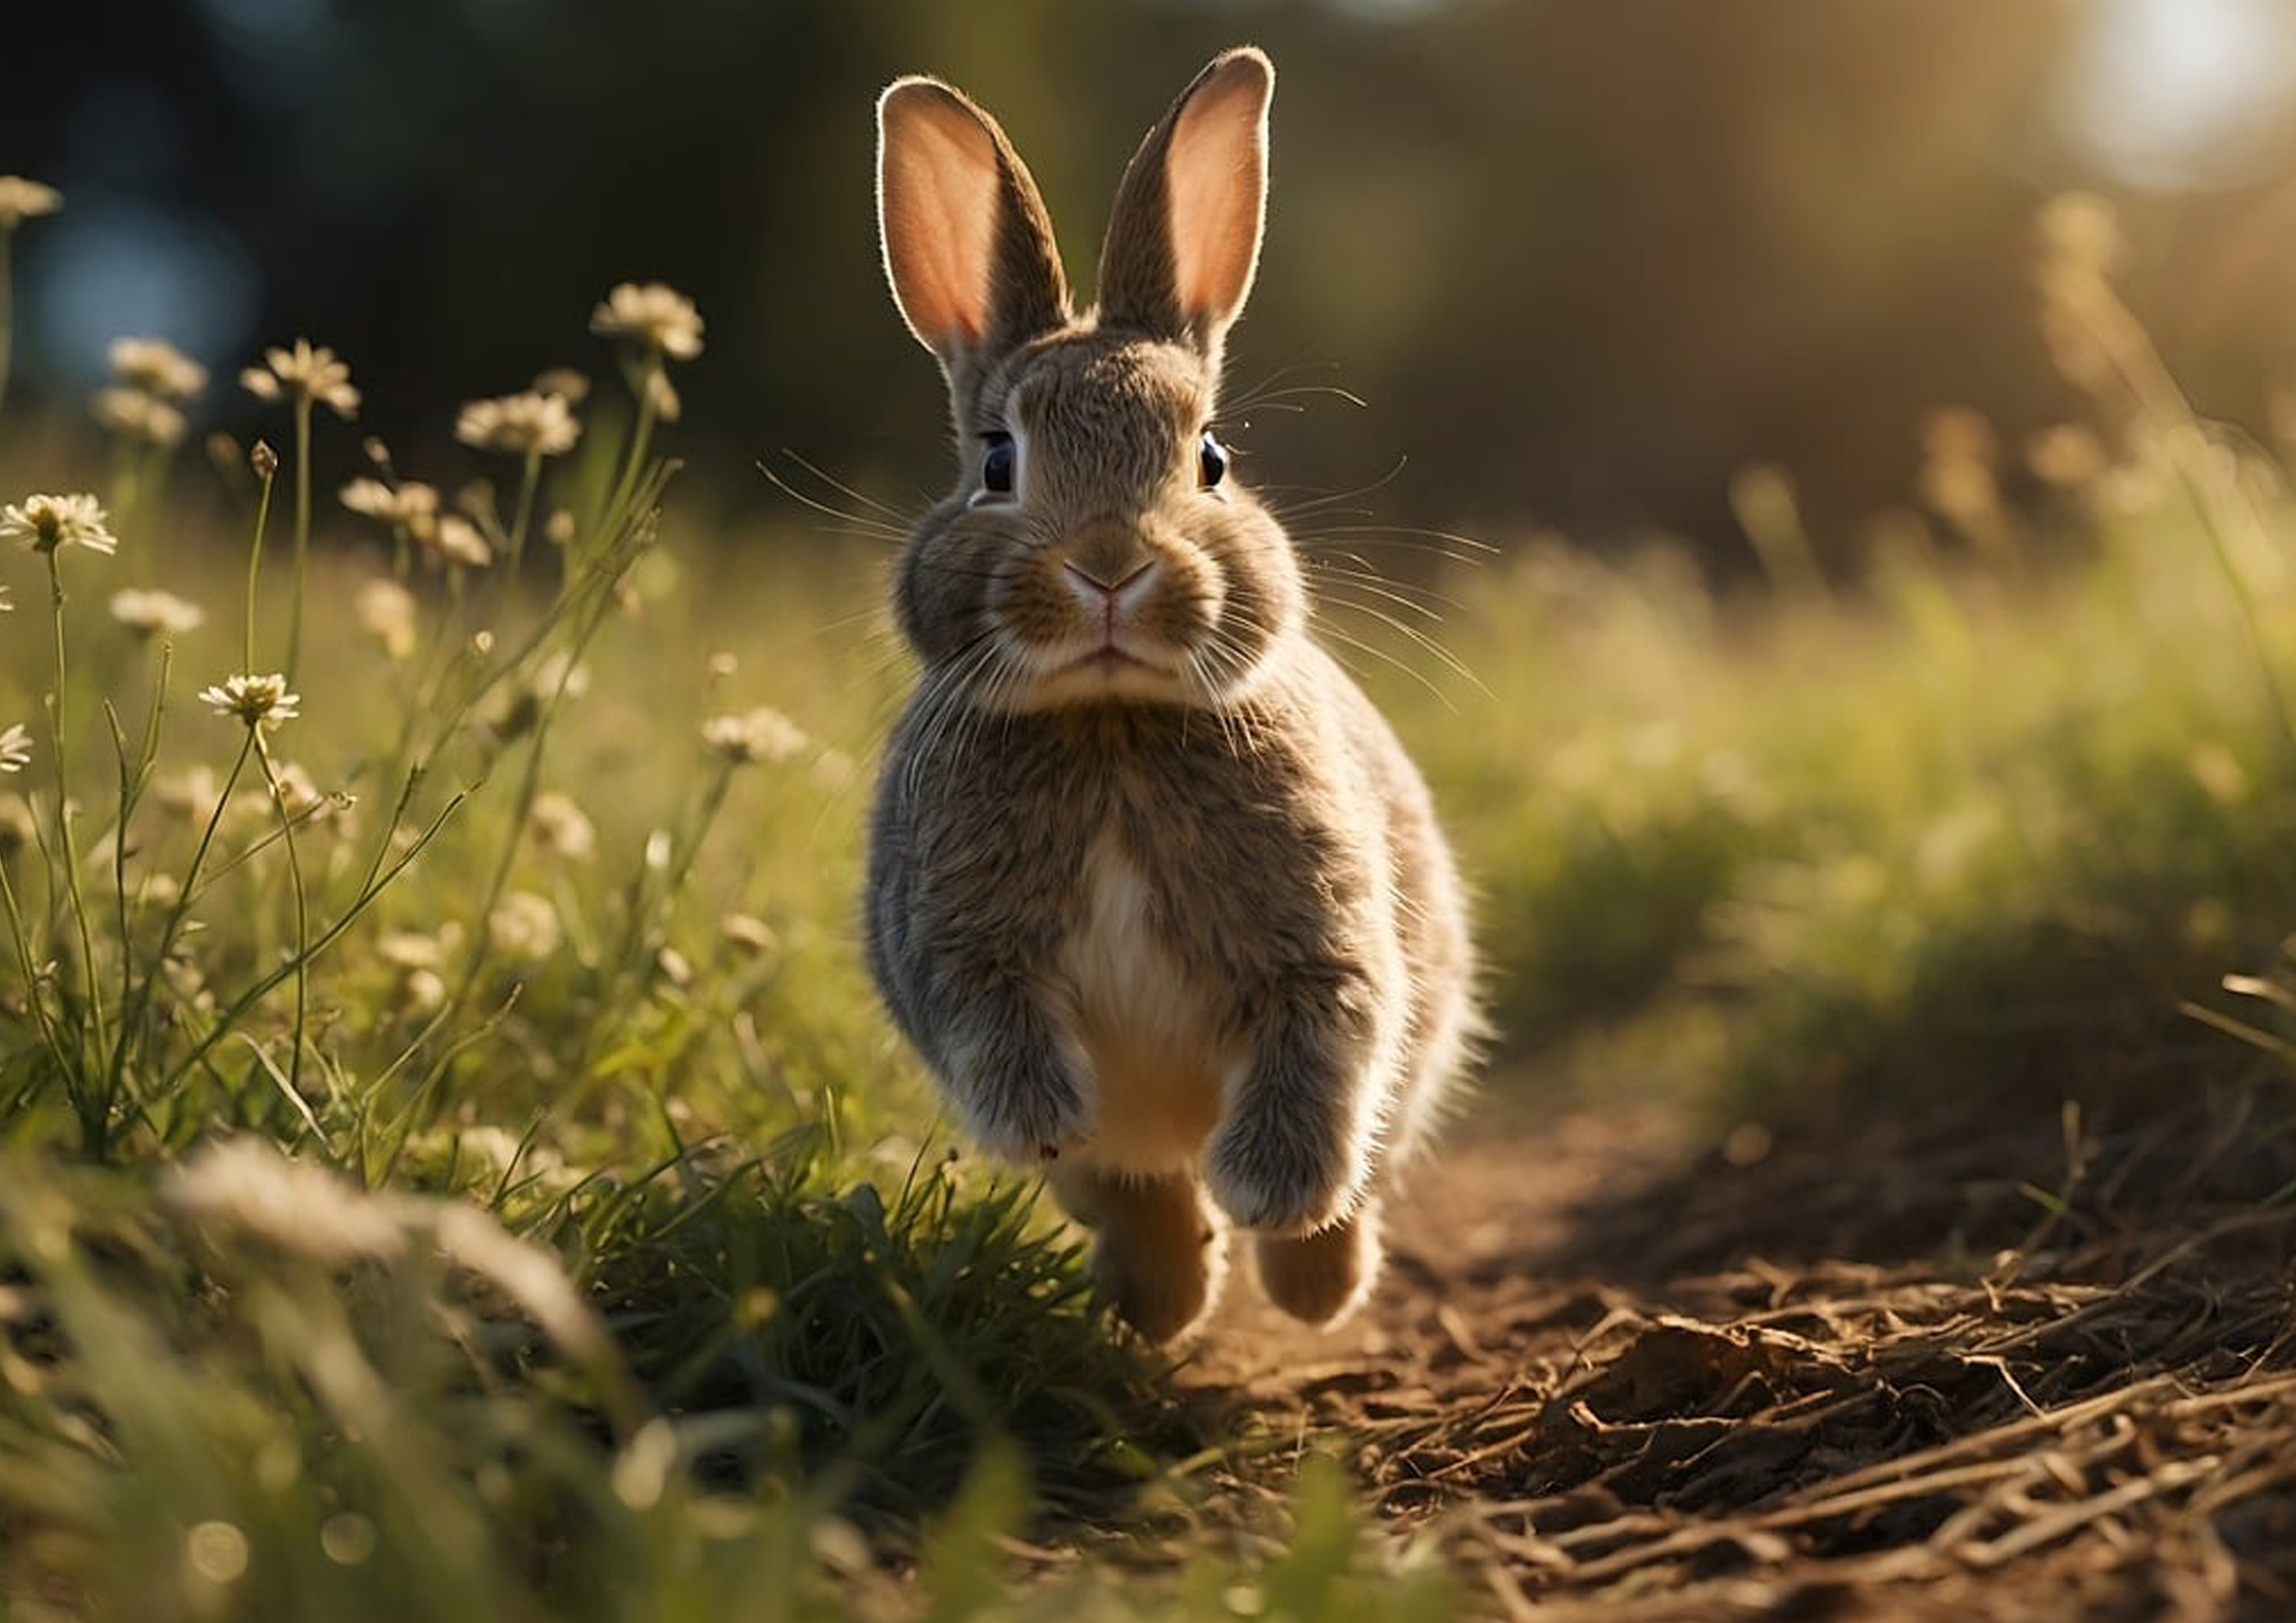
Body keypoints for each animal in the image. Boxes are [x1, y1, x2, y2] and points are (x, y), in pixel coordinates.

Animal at [865, 46, 1479, 1342]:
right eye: (996, 461)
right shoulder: (964, 963)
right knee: (1134, 1191)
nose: (1108, 568)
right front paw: (1060, 1122)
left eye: (1212, 459)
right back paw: (1161, 1303)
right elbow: (1019, 1068)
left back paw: (1307, 1287)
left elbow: (1321, 1056)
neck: (1109, 726)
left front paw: (1272, 1195)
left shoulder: (1323, 951)